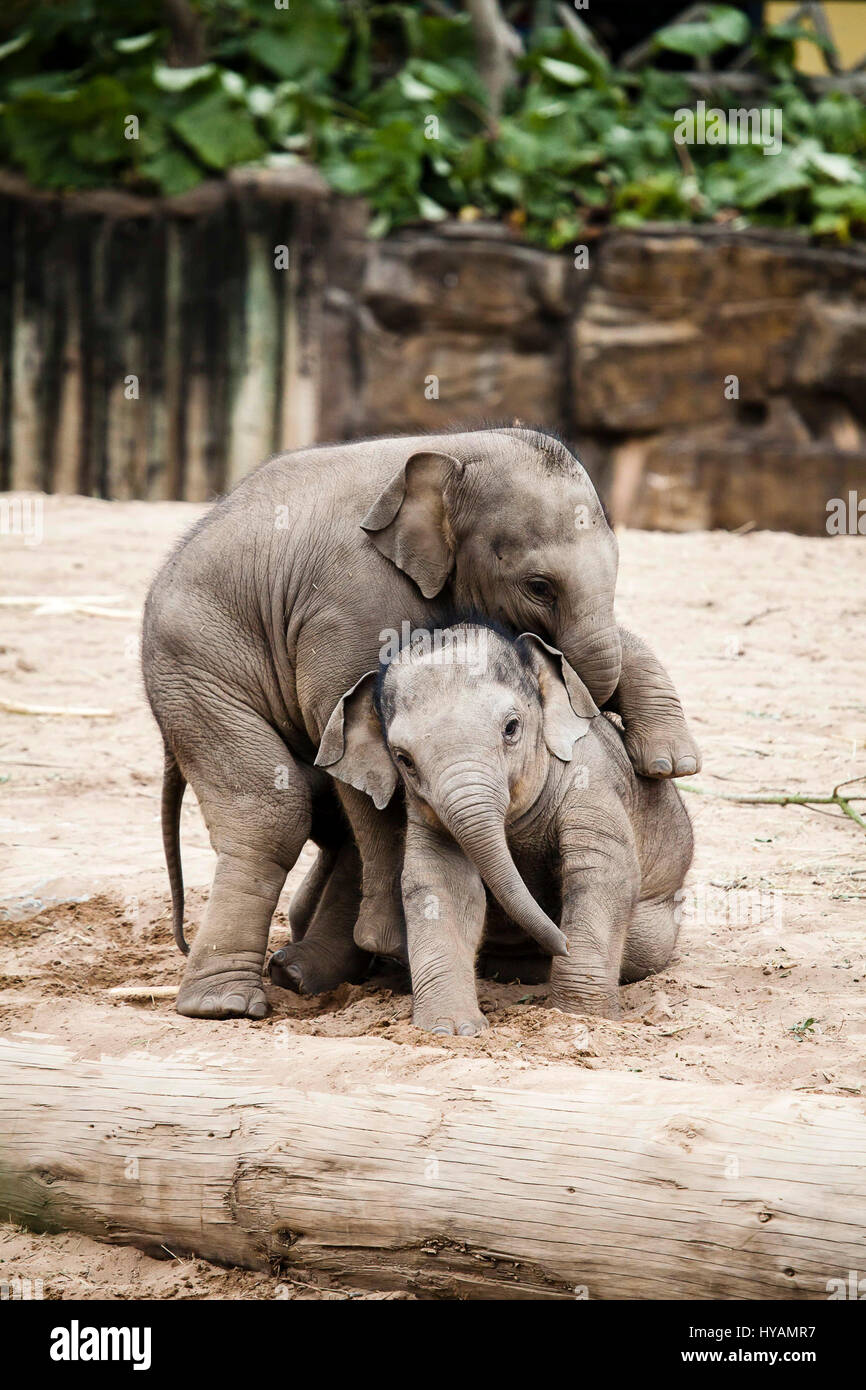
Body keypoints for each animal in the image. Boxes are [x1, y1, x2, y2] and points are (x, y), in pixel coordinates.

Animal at [313, 622, 694, 1032]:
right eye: (404, 759)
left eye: (511, 728)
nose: (562, 943)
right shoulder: (425, 813)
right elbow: (441, 884)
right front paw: (451, 1029)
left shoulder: (592, 779)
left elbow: (601, 872)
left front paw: (578, 1018)